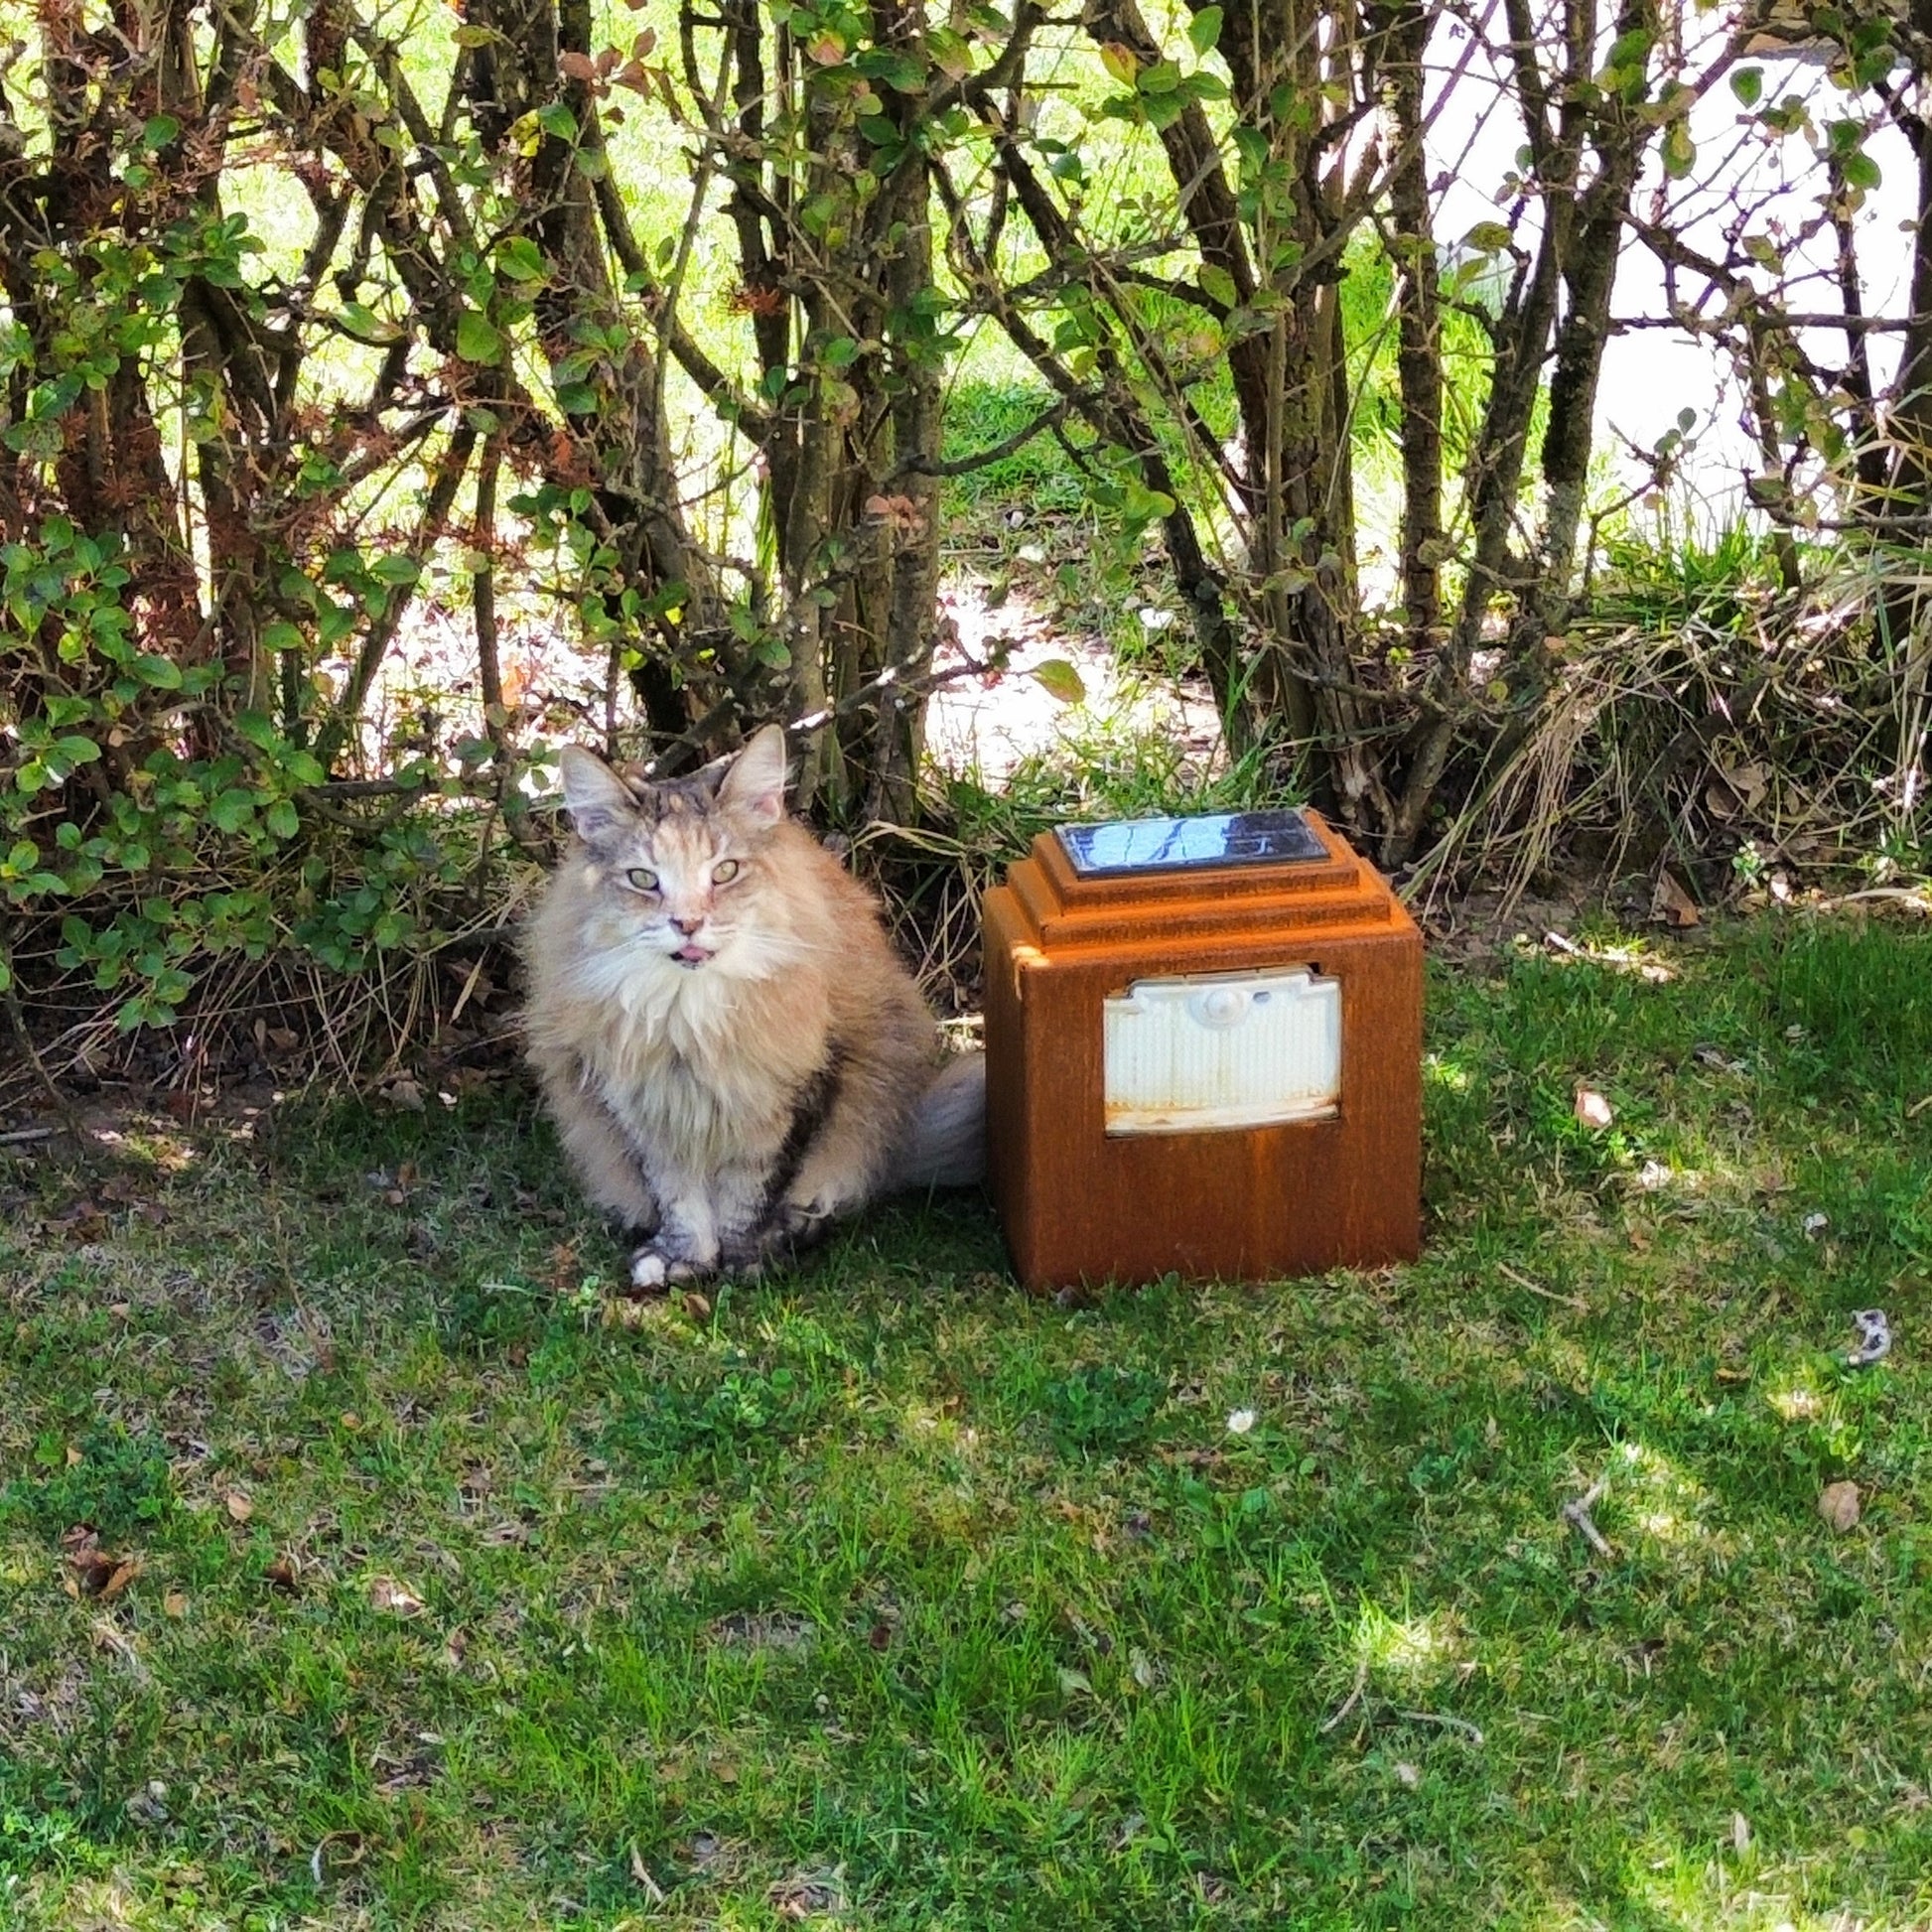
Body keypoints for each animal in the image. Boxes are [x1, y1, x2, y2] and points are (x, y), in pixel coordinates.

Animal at [521, 724, 985, 1288]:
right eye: (643, 879)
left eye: (724, 872)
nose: (688, 923)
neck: (689, 1018)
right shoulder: (645, 1108)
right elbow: (678, 1197)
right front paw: (687, 1259)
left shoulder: (795, 1094)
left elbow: (754, 1193)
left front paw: (746, 1260)